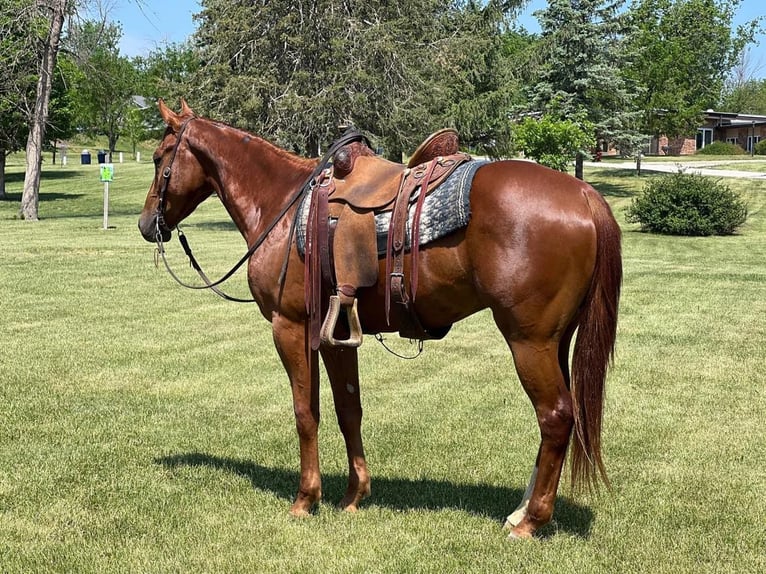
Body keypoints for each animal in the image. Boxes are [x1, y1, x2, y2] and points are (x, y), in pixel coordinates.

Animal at [138, 101, 624, 544]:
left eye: (160, 158)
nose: (146, 225)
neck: (282, 204)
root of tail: (585, 196)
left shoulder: (290, 327)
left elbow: (305, 412)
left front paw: (305, 499)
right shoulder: (332, 334)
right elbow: (348, 410)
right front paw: (354, 495)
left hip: (529, 341)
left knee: (555, 417)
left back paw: (530, 522)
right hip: (556, 342)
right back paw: (520, 510)